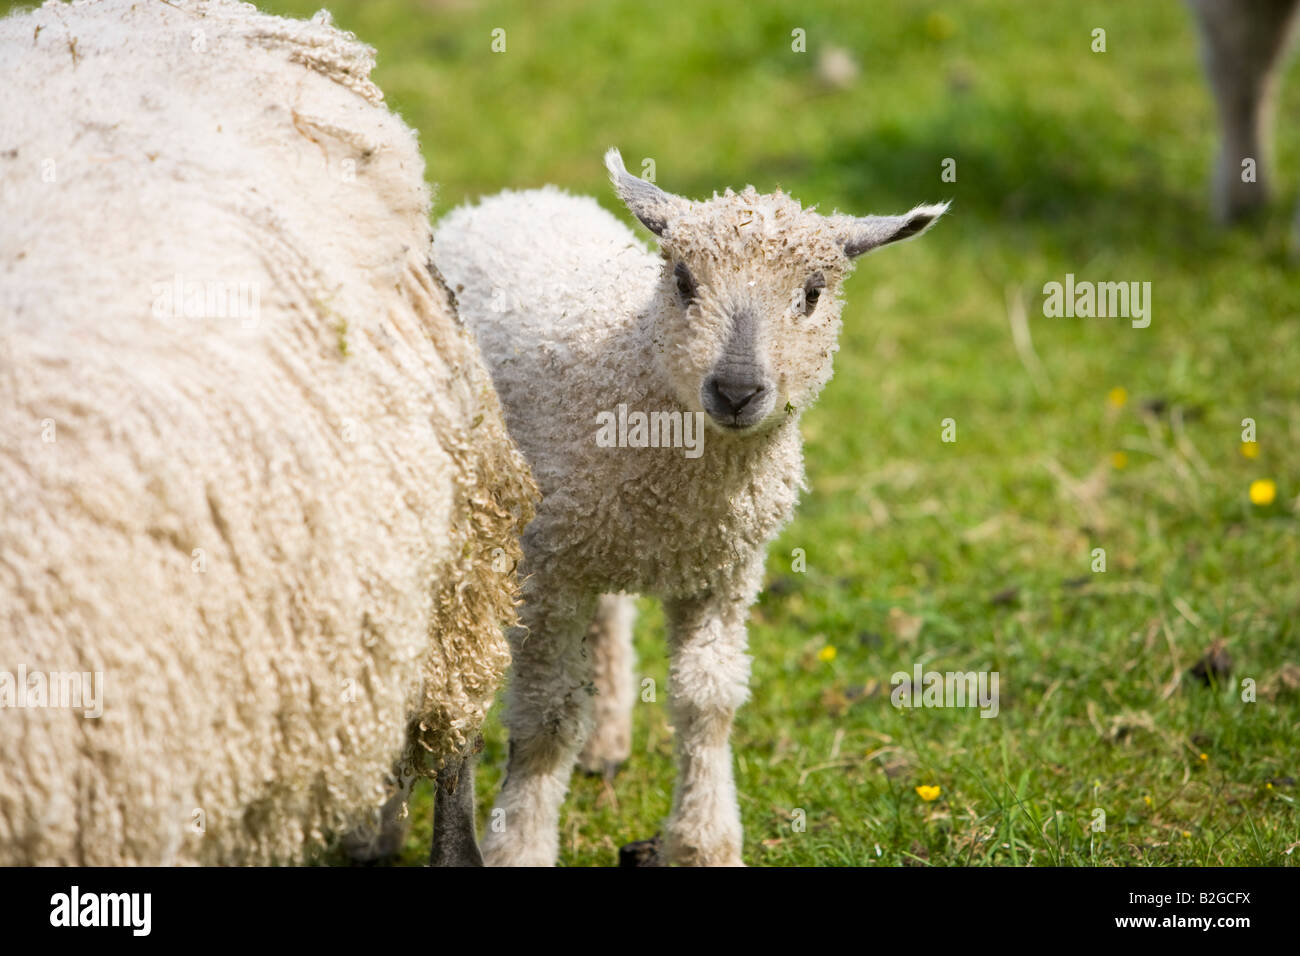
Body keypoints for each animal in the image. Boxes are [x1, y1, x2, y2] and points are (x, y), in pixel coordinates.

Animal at [436, 149, 946, 868]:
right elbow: (546, 717)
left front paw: (706, 840)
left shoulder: (724, 573)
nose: (736, 390)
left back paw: (608, 739)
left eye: (814, 292)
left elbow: (708, 703)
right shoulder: (551, 570)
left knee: (612, 619)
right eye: (681, 279)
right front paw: (523, 843)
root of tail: (522, 195)